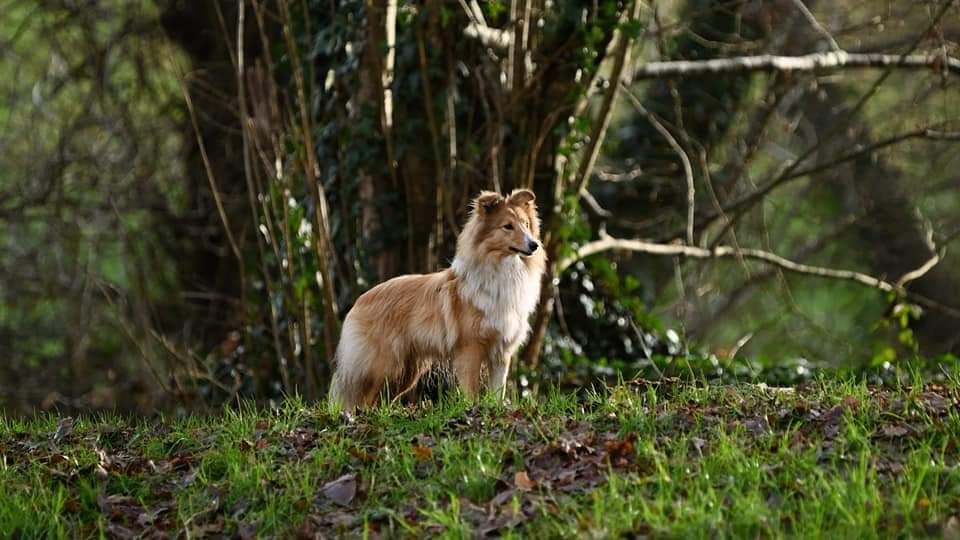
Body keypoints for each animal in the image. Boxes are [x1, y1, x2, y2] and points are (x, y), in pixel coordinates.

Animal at [330, 190, 544, 410]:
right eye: (507, 226)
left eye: (526, 224)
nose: (534, 245)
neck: (503, 269)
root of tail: (358, 302)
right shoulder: (470, 350)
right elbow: (471, 391)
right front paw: (471, 408)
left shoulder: (501, 353)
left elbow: (497, 392)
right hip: (382, 365)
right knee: (363, 399)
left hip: (406, 372)